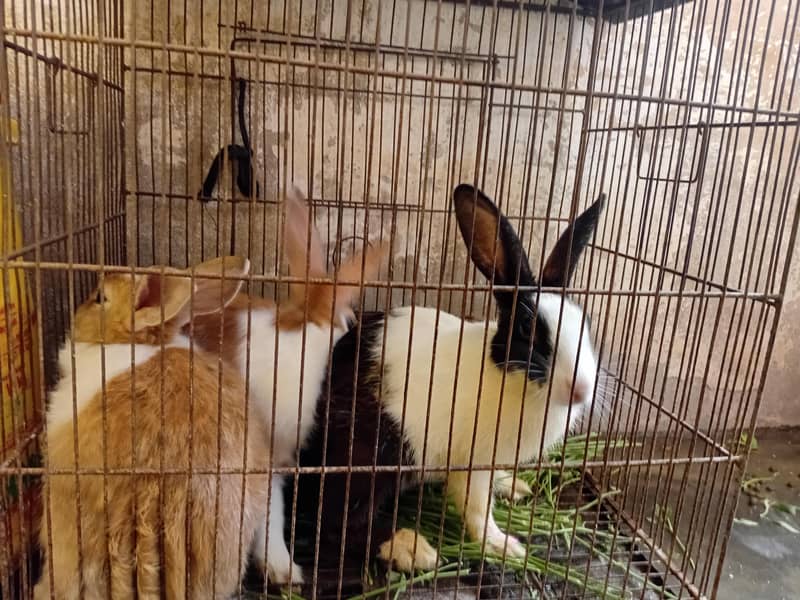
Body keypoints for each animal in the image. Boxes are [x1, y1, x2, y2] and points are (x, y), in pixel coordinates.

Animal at [299, 183, 605, 573]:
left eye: (586, 322)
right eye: (527, 328)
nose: (580, 389)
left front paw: (511, 488)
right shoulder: (474, 460)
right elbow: (476, 509)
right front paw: (502, 546)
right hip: (372, 450)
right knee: (335, 519)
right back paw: (411, 549)